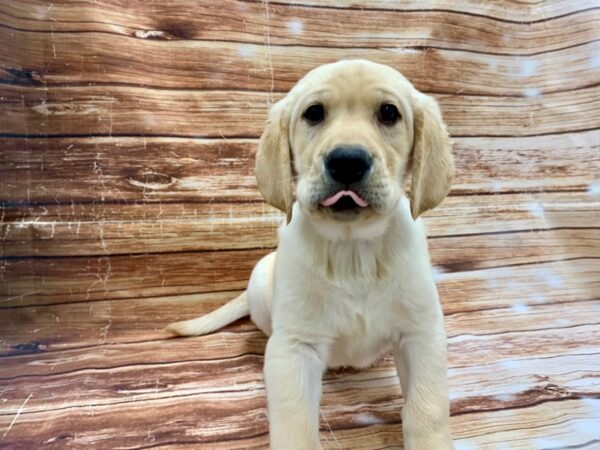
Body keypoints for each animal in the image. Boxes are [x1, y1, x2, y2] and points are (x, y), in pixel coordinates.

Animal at [166, 59, 452, 450]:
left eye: (389, 113)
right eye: (314, 113)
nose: (347, 161)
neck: (353, 250)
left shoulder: (422, 335)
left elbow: (427, 414)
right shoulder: (293, 349)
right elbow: (295, 427)